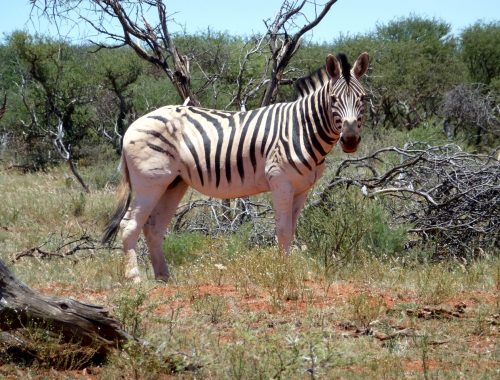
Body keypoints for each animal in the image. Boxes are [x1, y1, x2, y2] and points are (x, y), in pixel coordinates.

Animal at [102, 52, 368, 282]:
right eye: (333, 99)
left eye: (364, 98)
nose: (350, 139)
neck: (301, 129)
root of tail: (134, 125)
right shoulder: (281, 182)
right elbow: (283, 230)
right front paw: (283, 273)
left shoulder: (302, 188)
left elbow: (292, 231)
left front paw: (289, 268)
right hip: (148, 183)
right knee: (129, 225)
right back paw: (134, 278)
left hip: (173, 183)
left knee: (153, 227)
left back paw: (164, 277)